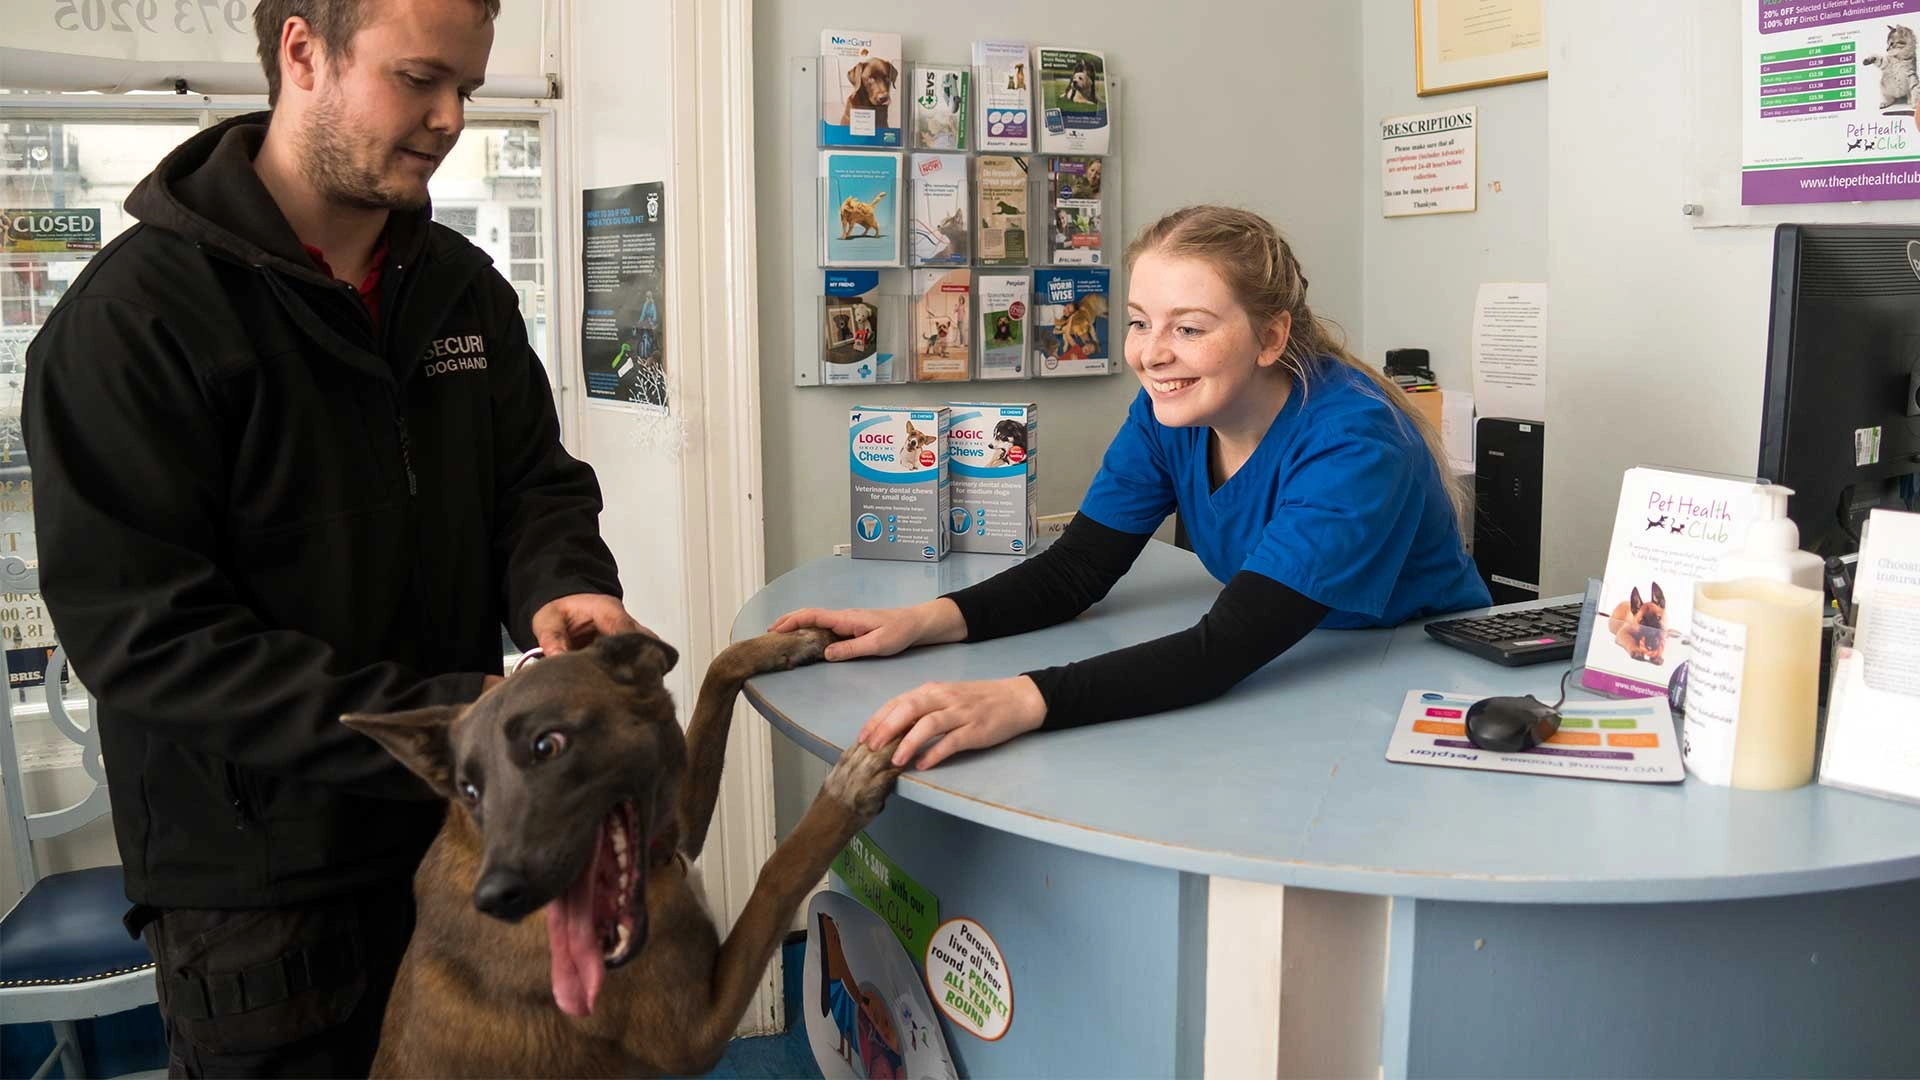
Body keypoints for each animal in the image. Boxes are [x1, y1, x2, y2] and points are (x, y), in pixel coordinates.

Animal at [341, 626, 902, 1068]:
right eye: (470, 789)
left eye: (548, 745)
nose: (498, 898)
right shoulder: (696, 1035)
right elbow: (779, 872)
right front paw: (849, 786)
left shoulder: (675, 831)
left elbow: (718, 668)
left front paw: (796, 640)